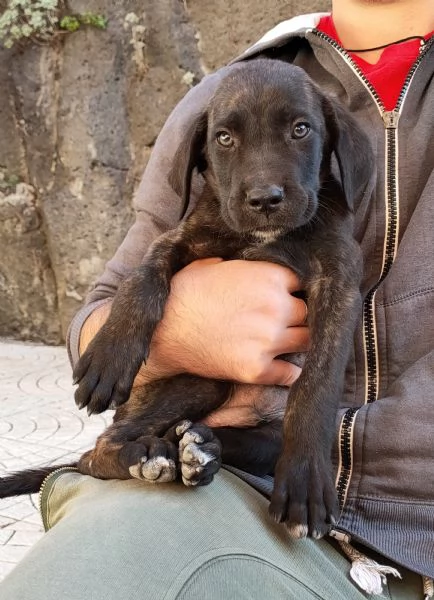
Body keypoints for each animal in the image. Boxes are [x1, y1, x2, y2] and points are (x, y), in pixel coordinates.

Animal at [0, 59, 372, 540]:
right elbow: (140, 279)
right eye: (224, 138)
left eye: (301, 129)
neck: (265, 237)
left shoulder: (339, 283)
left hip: (260, 436)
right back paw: (148, 456)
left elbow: (317, 384)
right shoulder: (177, 240)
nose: (264, 200)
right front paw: (110, 354)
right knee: (94, 452)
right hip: (200, 380)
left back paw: (198, 449)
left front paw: (305, 477)